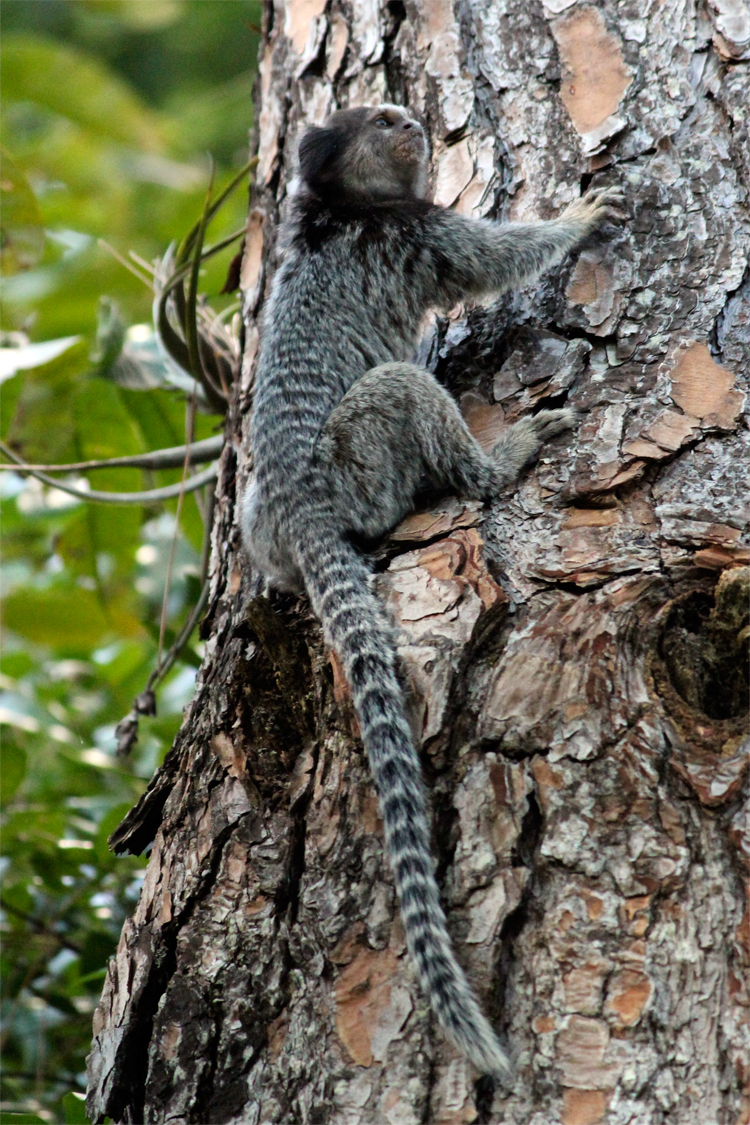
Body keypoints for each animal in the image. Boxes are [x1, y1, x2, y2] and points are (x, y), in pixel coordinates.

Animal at [244, 103, 625, 1080]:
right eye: (383, 123)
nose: (415, 122)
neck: (340, 209)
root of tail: (303, 513)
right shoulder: (416, 235)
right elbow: (492, 262)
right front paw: (578, 218)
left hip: (263, 520)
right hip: (360, 461)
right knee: (403, 390)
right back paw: (500, 461)